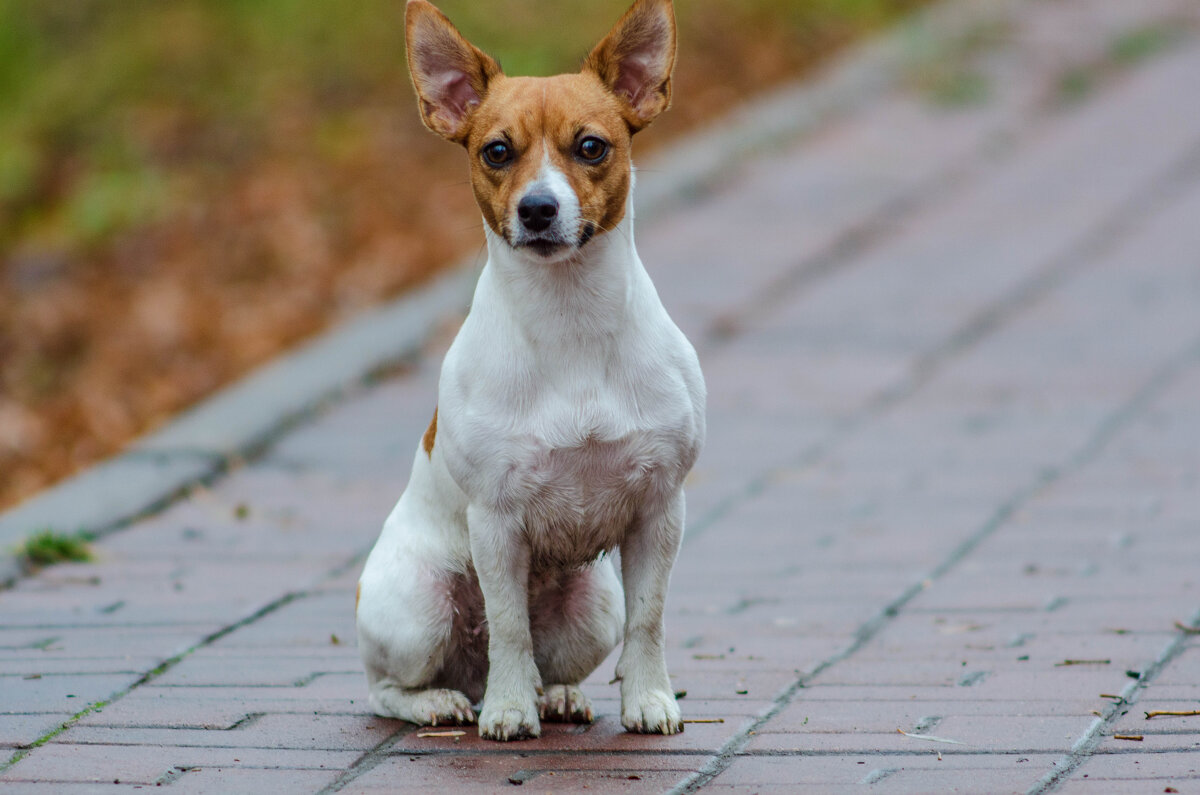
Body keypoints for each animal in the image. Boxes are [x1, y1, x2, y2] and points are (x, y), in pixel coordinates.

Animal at [355, 0, 700, 749]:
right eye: (496, 152)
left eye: (592, 147)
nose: (538, 208)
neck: (569, 322)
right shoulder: (497, 522)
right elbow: (509, 626)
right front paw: (509, 711)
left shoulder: (659, 510)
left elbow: (651, 618)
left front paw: (649, 698)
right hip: (420, 610)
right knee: (392, 688)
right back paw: (452, 703)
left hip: (592, 605)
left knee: (556, 657)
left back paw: (558, 694)